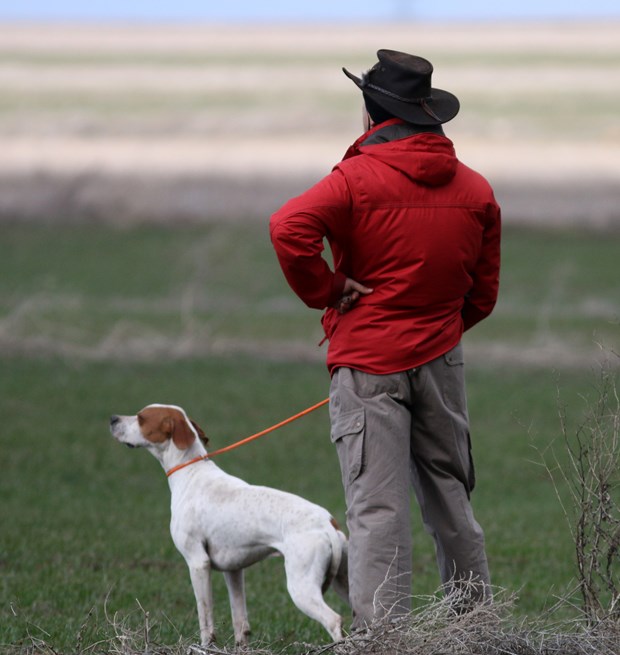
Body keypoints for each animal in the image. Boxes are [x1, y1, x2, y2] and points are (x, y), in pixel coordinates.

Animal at [110, 404, 348, 644]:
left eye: (141, 417)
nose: (112, 419)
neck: (190, 473)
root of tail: (328, 523)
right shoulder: (234, 571)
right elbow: (240, 623)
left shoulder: (198, 563)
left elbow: (205, 620)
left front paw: (205, 646)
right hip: (342, 583)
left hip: (301, 587)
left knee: (334, 620)